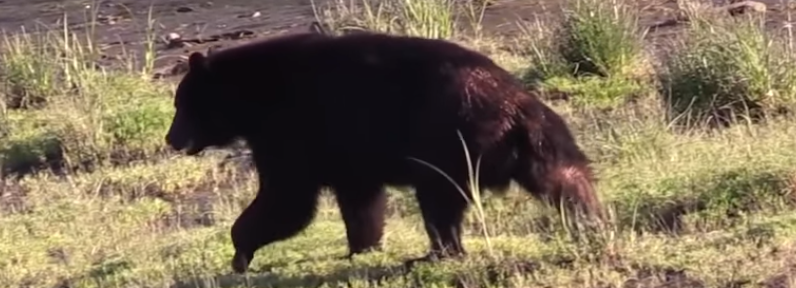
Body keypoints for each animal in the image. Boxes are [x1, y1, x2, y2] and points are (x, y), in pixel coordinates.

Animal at [166, 31, 604, 272]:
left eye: (181, 104)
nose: (171, 139)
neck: (255, 96)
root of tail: (517, 106)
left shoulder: (293, 128)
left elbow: (288, 197)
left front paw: (240, 249)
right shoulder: (346, 148)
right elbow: (359, 200)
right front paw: (362, 247)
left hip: (445, 141)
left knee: (439, 202)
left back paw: (436, 253)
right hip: (543, 145)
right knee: (567, 180)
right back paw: (592, 222)